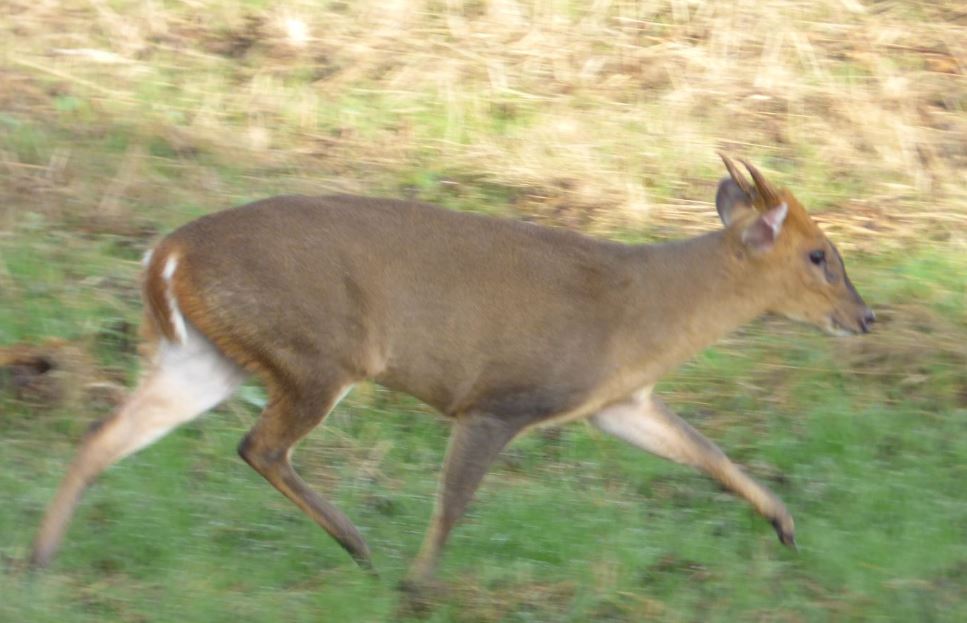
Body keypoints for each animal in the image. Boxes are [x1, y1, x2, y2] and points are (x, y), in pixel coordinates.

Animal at [29, 154, 873, 596]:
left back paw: (38, 558)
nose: (864, 316)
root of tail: (164, 255)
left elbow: (707, 452)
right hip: (315, 353)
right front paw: (417, 588)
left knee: (103, 435)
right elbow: (454, 500)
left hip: (203, 355)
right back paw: (360, 546)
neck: (645, 308)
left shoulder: (615, 402)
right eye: (818, 254)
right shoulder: (501, 399)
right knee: (257, 445)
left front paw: (783, 524)